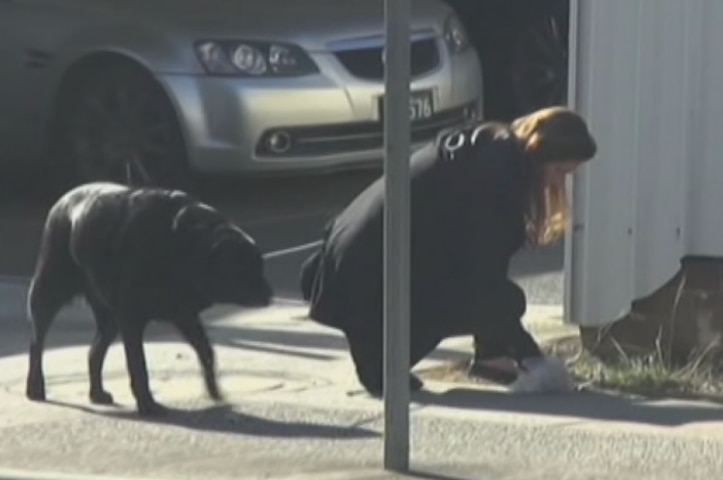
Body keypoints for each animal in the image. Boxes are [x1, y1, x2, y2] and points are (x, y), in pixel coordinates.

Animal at [26, 182, 274, 414]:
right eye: (242, 269)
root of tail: (63, 201)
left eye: (259, 265)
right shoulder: (132, 318)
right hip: (49, 289)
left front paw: (213, 390)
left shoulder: (184, 314)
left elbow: (205, 350)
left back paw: (97, 393)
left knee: (94, 352)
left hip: (109, 316)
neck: (183, 246)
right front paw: (147, 403)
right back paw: (35, 387)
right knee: (37, 341)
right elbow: (138, 364)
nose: (269, 294)